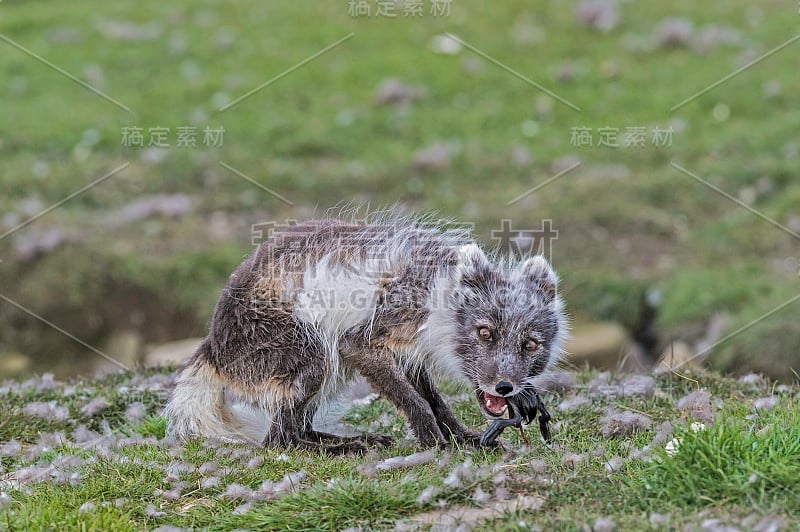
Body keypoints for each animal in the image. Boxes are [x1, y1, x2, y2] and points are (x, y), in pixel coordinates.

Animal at [162, 216, 564, 454]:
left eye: (530, 344)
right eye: (485, 333)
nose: (505, 387)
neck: (437, 293)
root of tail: (211, 348)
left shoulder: (407, 352)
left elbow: (434, 399)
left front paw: (464, 437)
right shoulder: (362, 340)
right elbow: (415, 402)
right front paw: (436, 442)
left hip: (327, 373)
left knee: (299, 427)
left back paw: (357, 439)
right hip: (314, 353)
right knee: (280, 441)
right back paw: (341, 449)